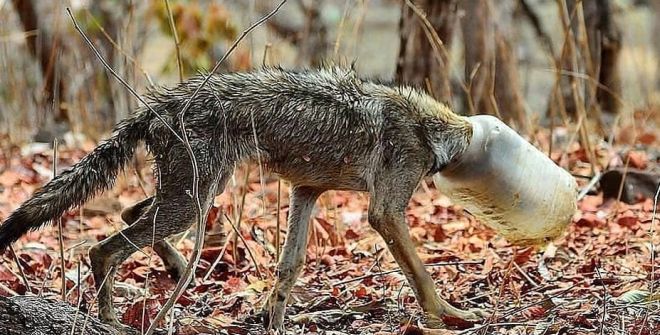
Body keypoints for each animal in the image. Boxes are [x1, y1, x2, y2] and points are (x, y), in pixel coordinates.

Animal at [0, 67, 484, 330]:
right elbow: (421, 274)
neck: (431, 129)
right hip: (191, 203)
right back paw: (111, 321)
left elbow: (289, 268)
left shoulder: (306, 191)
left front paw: (273, 321)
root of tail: (159, 105)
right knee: (103, 249)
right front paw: (450, 316)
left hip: (194, 197)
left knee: (128, 213)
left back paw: (177, 268)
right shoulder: (384, 212)